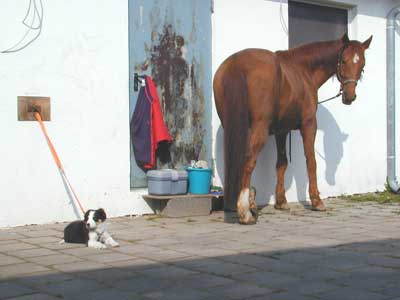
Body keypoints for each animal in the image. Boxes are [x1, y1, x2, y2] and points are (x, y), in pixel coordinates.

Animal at [214, 34, 374, 224]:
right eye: (343, 60)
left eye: (362, 65)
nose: (350, 96)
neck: (303, 70)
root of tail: (238, 62)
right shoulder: (309, 124)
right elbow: (311, 161)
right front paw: (316, 201)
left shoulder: (281, 131)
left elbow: (282, 163)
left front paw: (281, 202)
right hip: (259, 128)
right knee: (249, 160)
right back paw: (245, 212)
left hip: (231, 126)